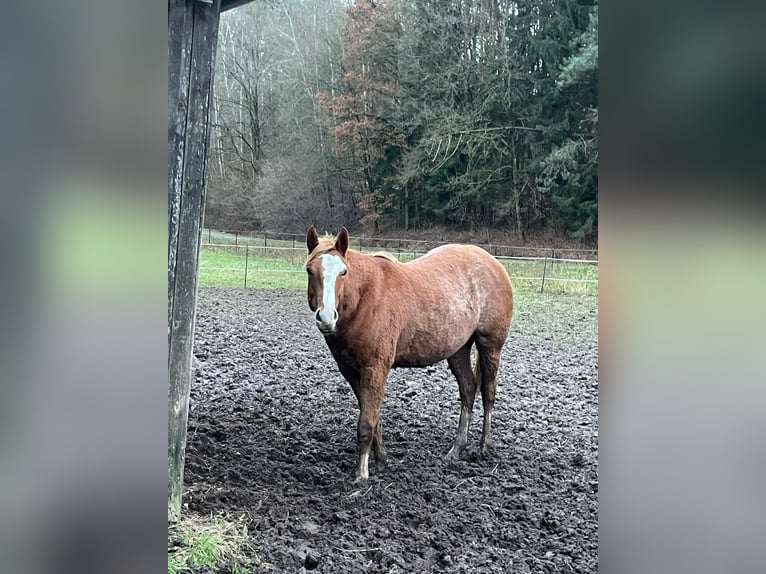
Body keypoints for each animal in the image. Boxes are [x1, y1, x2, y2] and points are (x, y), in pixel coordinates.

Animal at [306, 225, 516, 482]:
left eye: (343, 272)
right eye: (309, 270)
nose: (326, 318)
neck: (364, 299)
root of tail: (493, 263)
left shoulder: (375, 368)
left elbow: (366, 423)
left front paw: (362, 474)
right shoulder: (351, 371)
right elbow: (373, 416)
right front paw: (381, 461)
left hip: (490, 346)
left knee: (488, 392)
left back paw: (485, 445)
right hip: (458, 349)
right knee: (468, 389)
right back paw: (457, 448)